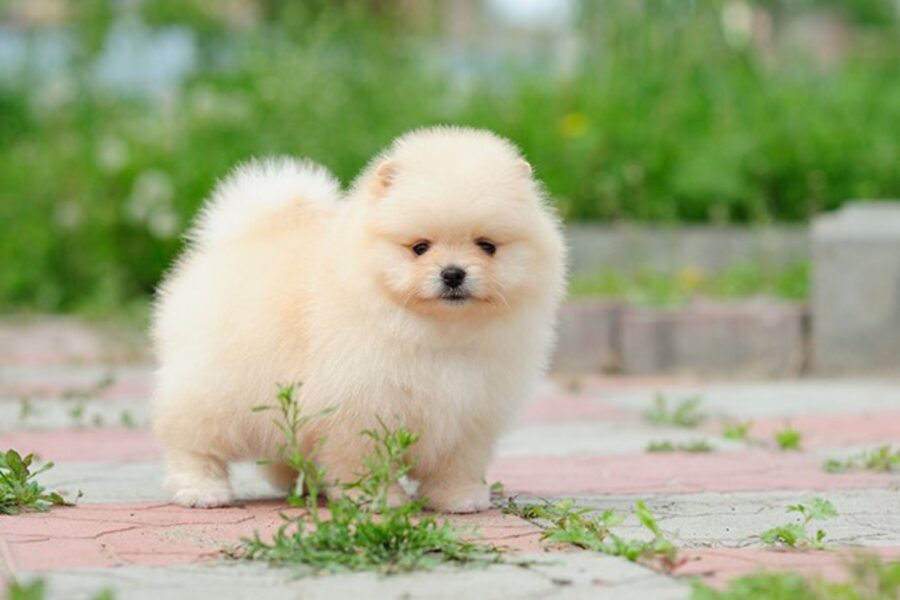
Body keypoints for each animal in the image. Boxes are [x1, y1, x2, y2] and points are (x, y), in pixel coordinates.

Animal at [151, 125, 568, 510]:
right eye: (420, 248)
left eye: (487, 246)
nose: (453, 273)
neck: (437, 335)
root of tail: (238, 239)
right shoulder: (360, 405)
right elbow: (363, 458)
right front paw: (377, 498)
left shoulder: (469, 413)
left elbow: (457, 463)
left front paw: (460, 497)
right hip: (215, 389)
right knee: (192, 441)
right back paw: (202, 490)